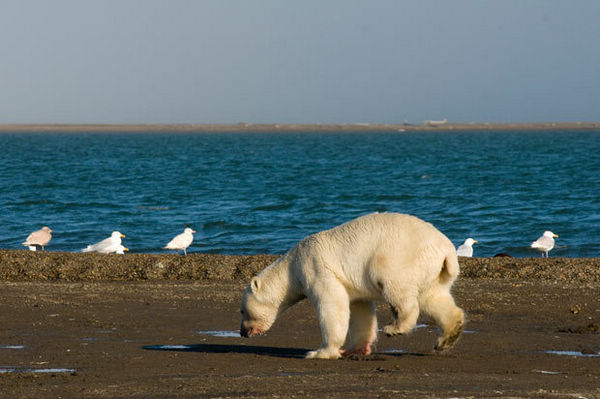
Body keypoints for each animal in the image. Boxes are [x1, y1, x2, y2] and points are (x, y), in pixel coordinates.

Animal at [239, 214, 464, 360]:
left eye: (242, 311)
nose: (242, 332)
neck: (292, 266)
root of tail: (446, 249)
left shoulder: (315, 267)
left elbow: (331, 304)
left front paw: (320, 352)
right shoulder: (352, 284)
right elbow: (360, 309)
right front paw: (355, 349)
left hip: (398, 257)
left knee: (398, 289)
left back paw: (395, 327)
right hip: (434, 270)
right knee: (433, 298)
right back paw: (448, 336)